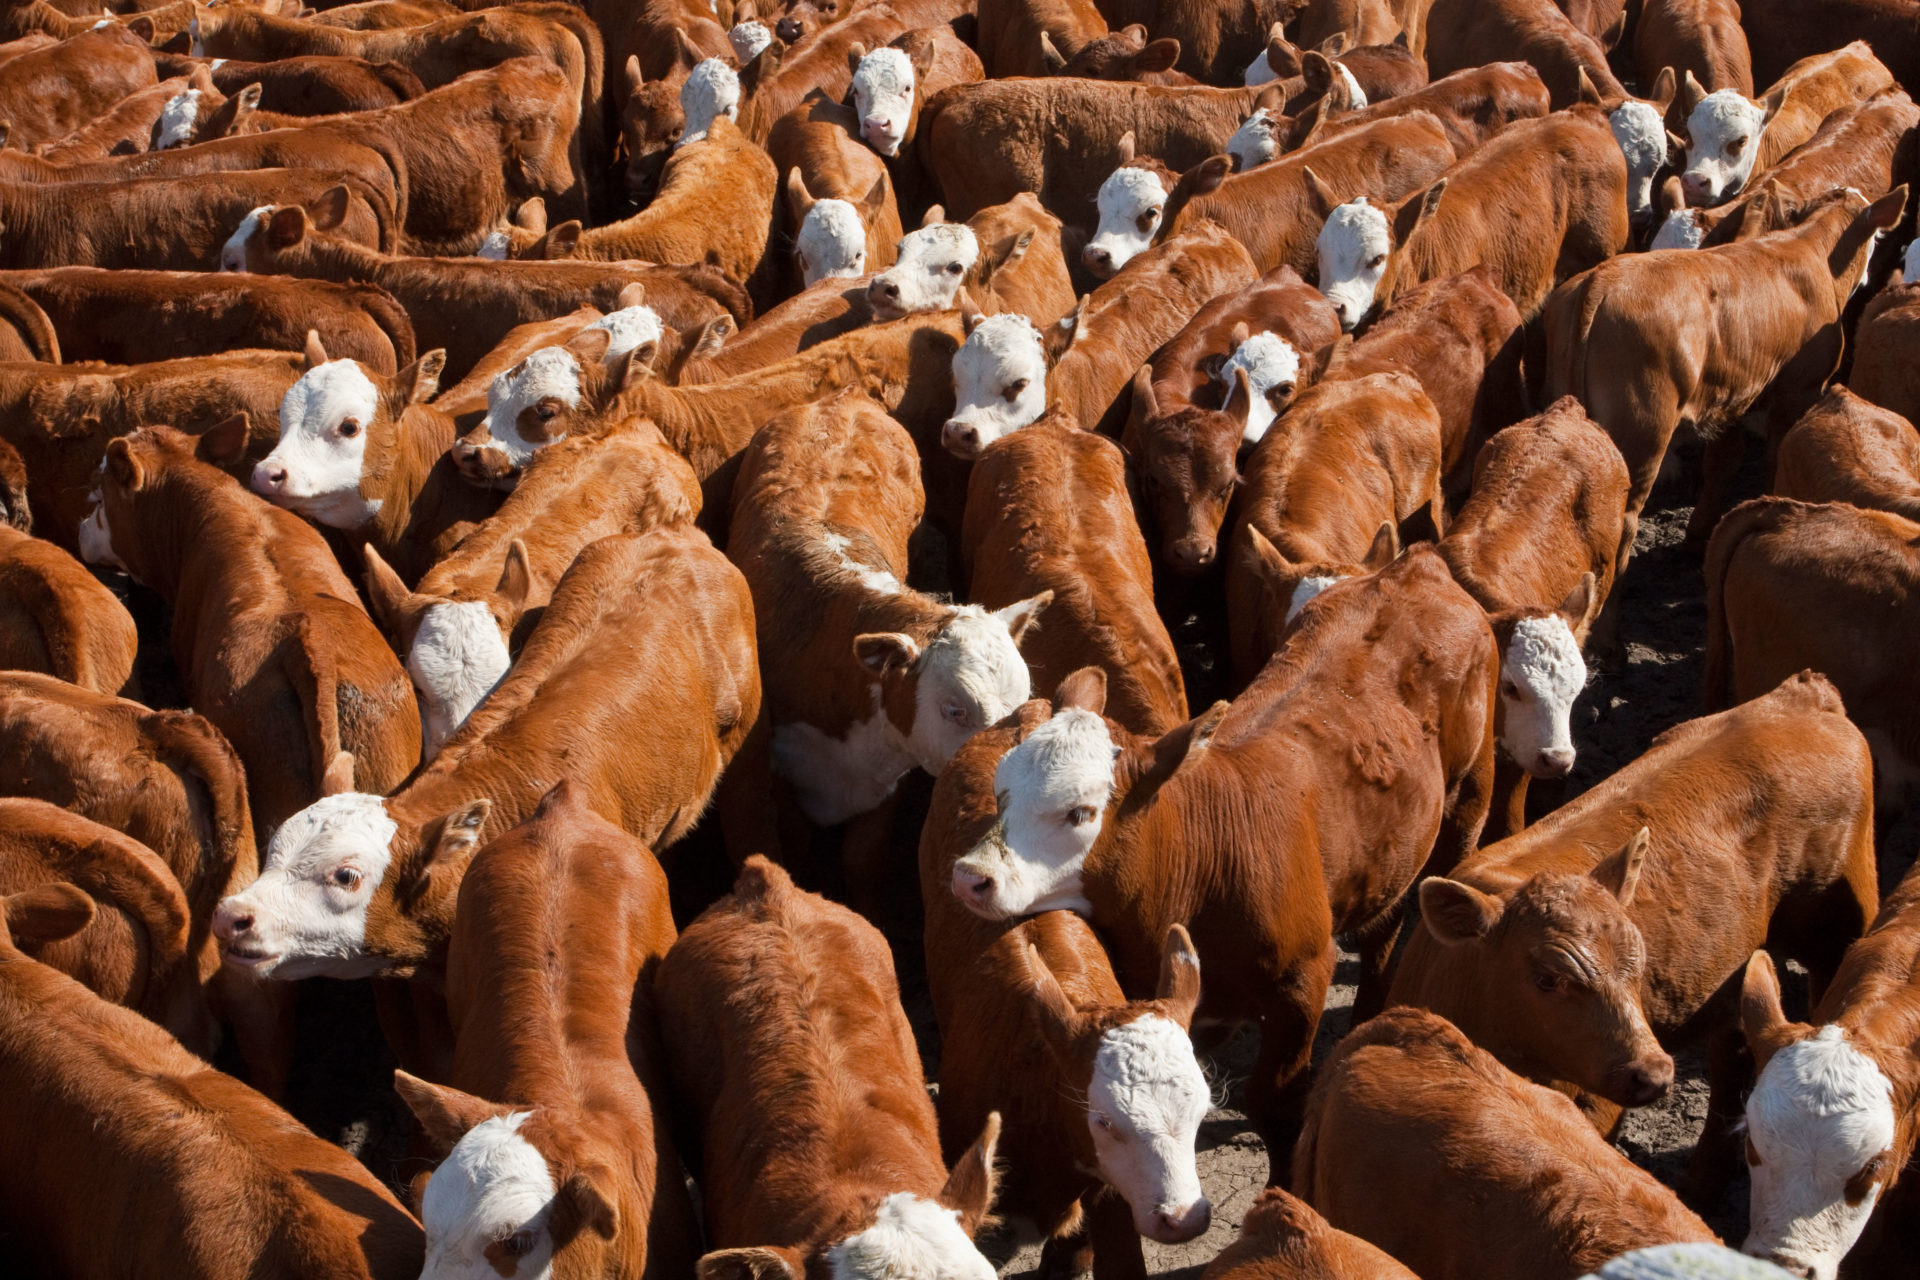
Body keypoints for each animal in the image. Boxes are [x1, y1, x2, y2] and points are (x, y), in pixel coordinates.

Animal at [946, 546, 1497, 1179]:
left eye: (1081, 812)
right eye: (1002, 789)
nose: (970, 878)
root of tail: (1414, 564)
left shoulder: (1304, 978)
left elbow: (1274, 1104)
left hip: (1470, 794)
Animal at [1391, 672, 1879, 1198]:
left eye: (1638, 968)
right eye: (1546, 979)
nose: (1655, 1073)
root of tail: (1804, 696)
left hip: (1840, 931)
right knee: (1730, 1056)